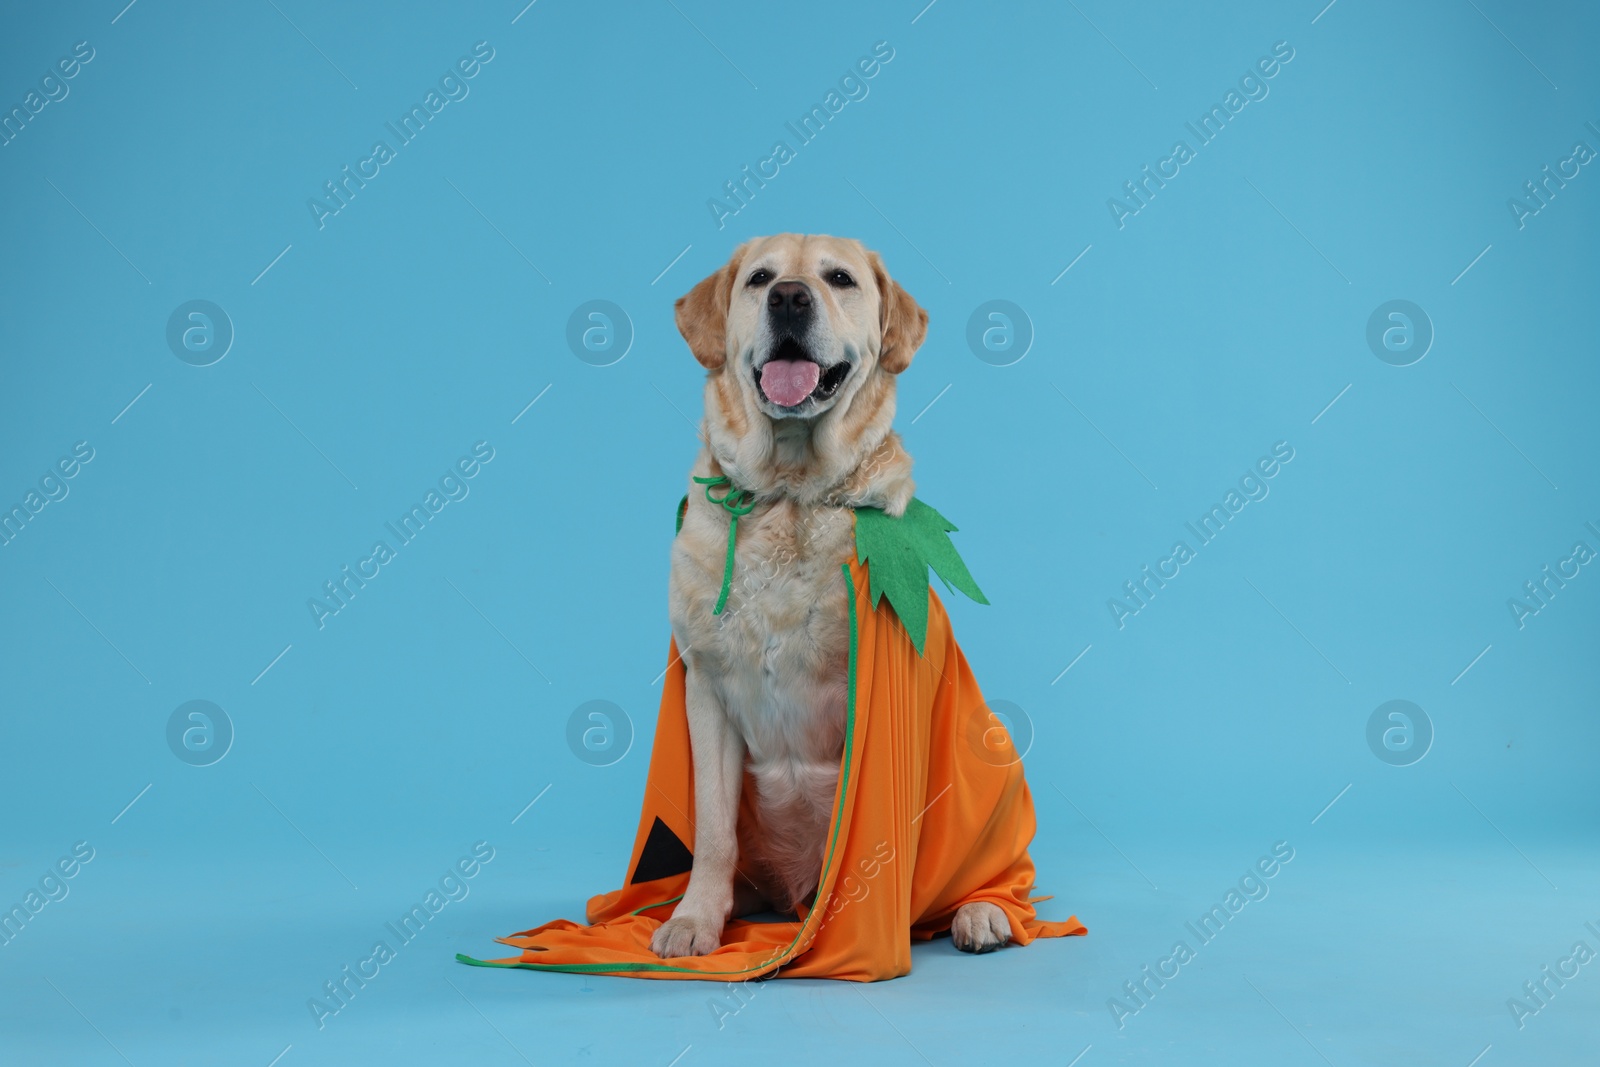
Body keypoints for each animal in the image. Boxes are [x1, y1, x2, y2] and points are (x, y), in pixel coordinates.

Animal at [652, 235, 1011, 959]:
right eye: (760, 278)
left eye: (840, 278)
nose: (789, 297)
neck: (788, 494)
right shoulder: (705, 687)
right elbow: (711, 829)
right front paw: (695, 918)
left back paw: (980, 911)